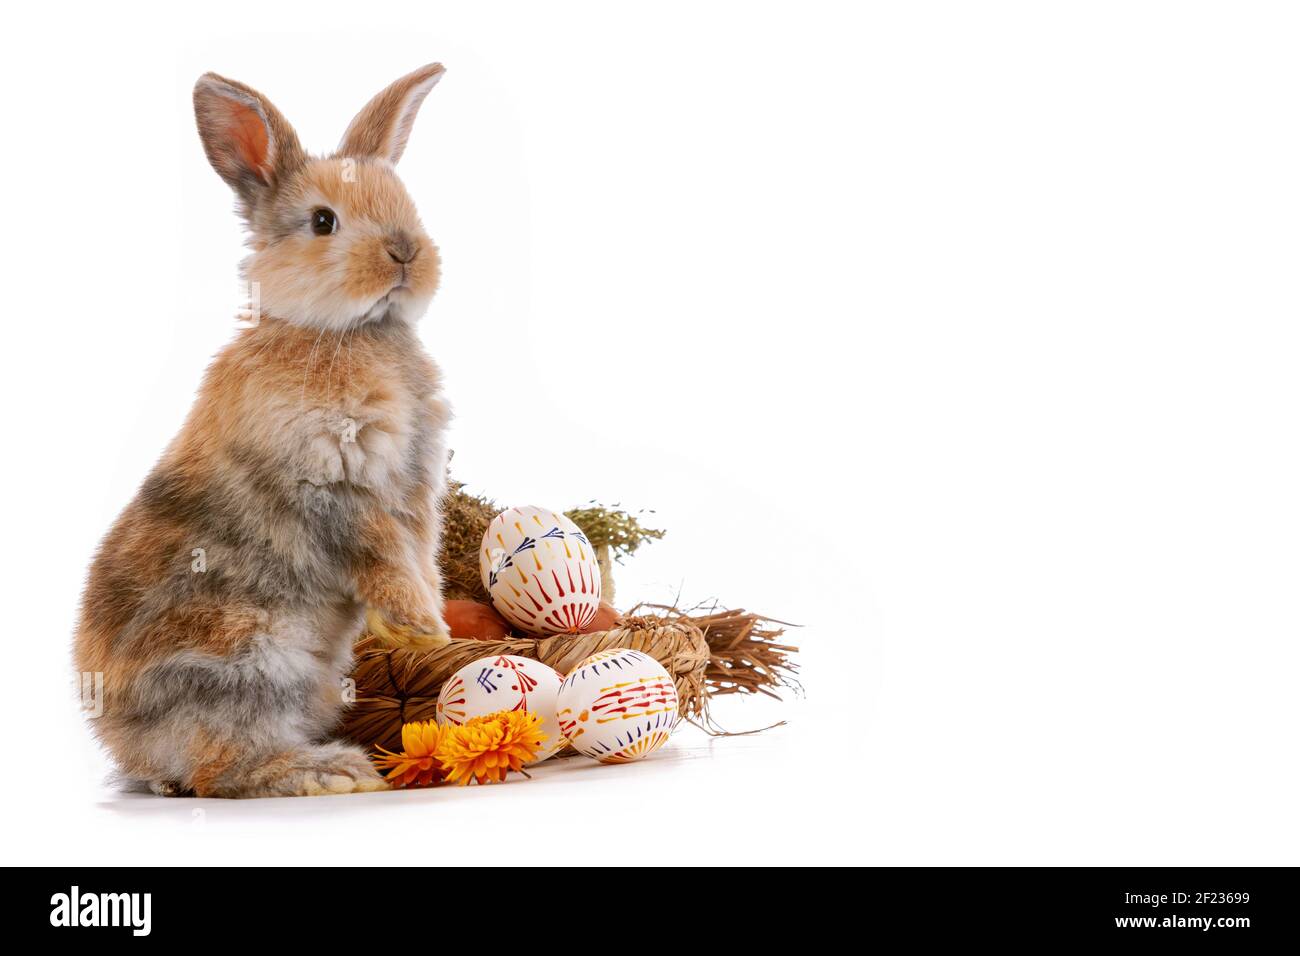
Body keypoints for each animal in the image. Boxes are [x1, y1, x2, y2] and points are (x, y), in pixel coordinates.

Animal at [74, 63, 454, 798]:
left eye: (406, 201)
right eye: (323, 222)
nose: (405, 251)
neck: (343, 332)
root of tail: (125, 745)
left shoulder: (417, 489)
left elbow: (419, 557)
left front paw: (427, 630)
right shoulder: (333, 483)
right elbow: (382, 556)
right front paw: (425, 629)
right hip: (248, 662)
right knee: (222, 768)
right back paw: (332, 771)